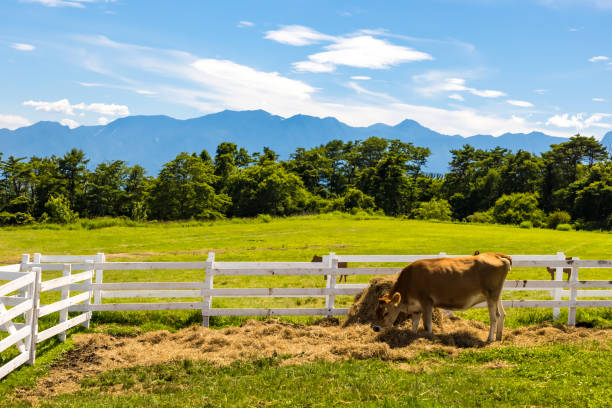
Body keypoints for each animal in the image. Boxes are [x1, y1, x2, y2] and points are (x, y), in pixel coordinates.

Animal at [372, 253, 512, 342]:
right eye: (376, 311)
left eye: (386, 312)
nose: (375, 328)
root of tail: (496, 255)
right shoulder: (416, 308)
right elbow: (414, 325)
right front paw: (413, 336)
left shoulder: (427, 302)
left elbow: (427, 325)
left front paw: (428, 338)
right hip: (496, 295)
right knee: (502, 314)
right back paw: (498, 337)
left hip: (491, 296)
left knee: (494, 317)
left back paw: (490, 338)